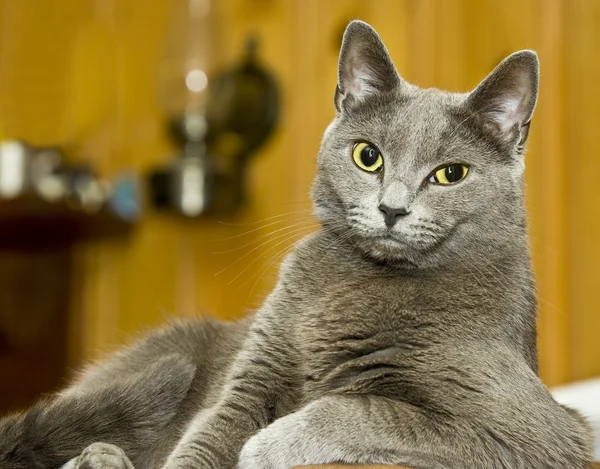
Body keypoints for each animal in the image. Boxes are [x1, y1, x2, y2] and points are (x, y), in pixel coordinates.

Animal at [0, 21, 592, 468]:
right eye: (368, 156)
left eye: (451, 173)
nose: (392, 209)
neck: (361, 280)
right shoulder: (255, 369)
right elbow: (211, 430)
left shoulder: (540, 431)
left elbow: (371, 407)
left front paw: (267, 445)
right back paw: (99, 456)